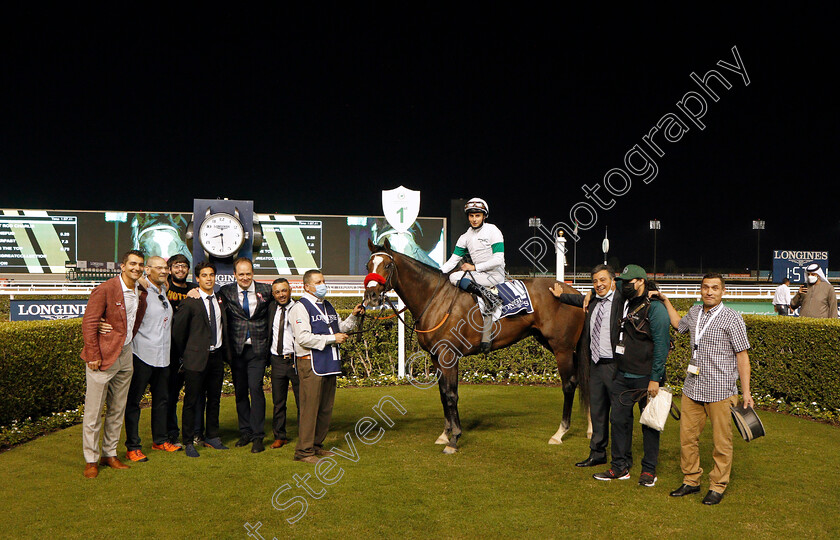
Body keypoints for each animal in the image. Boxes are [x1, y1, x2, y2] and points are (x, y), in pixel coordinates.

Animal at [364, 238, 588, 454]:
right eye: (368, 265)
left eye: (387, 265)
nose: (371, 296)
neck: (435, 299)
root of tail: (574, 292)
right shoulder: (436, 357)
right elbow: (443, 394)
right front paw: (445, 434)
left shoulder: (448, 355)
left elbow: (451, 395)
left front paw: (454, 439)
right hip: (554, 343)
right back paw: (590, 429)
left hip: (561, 347)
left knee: (569, 384)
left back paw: (560, 433)